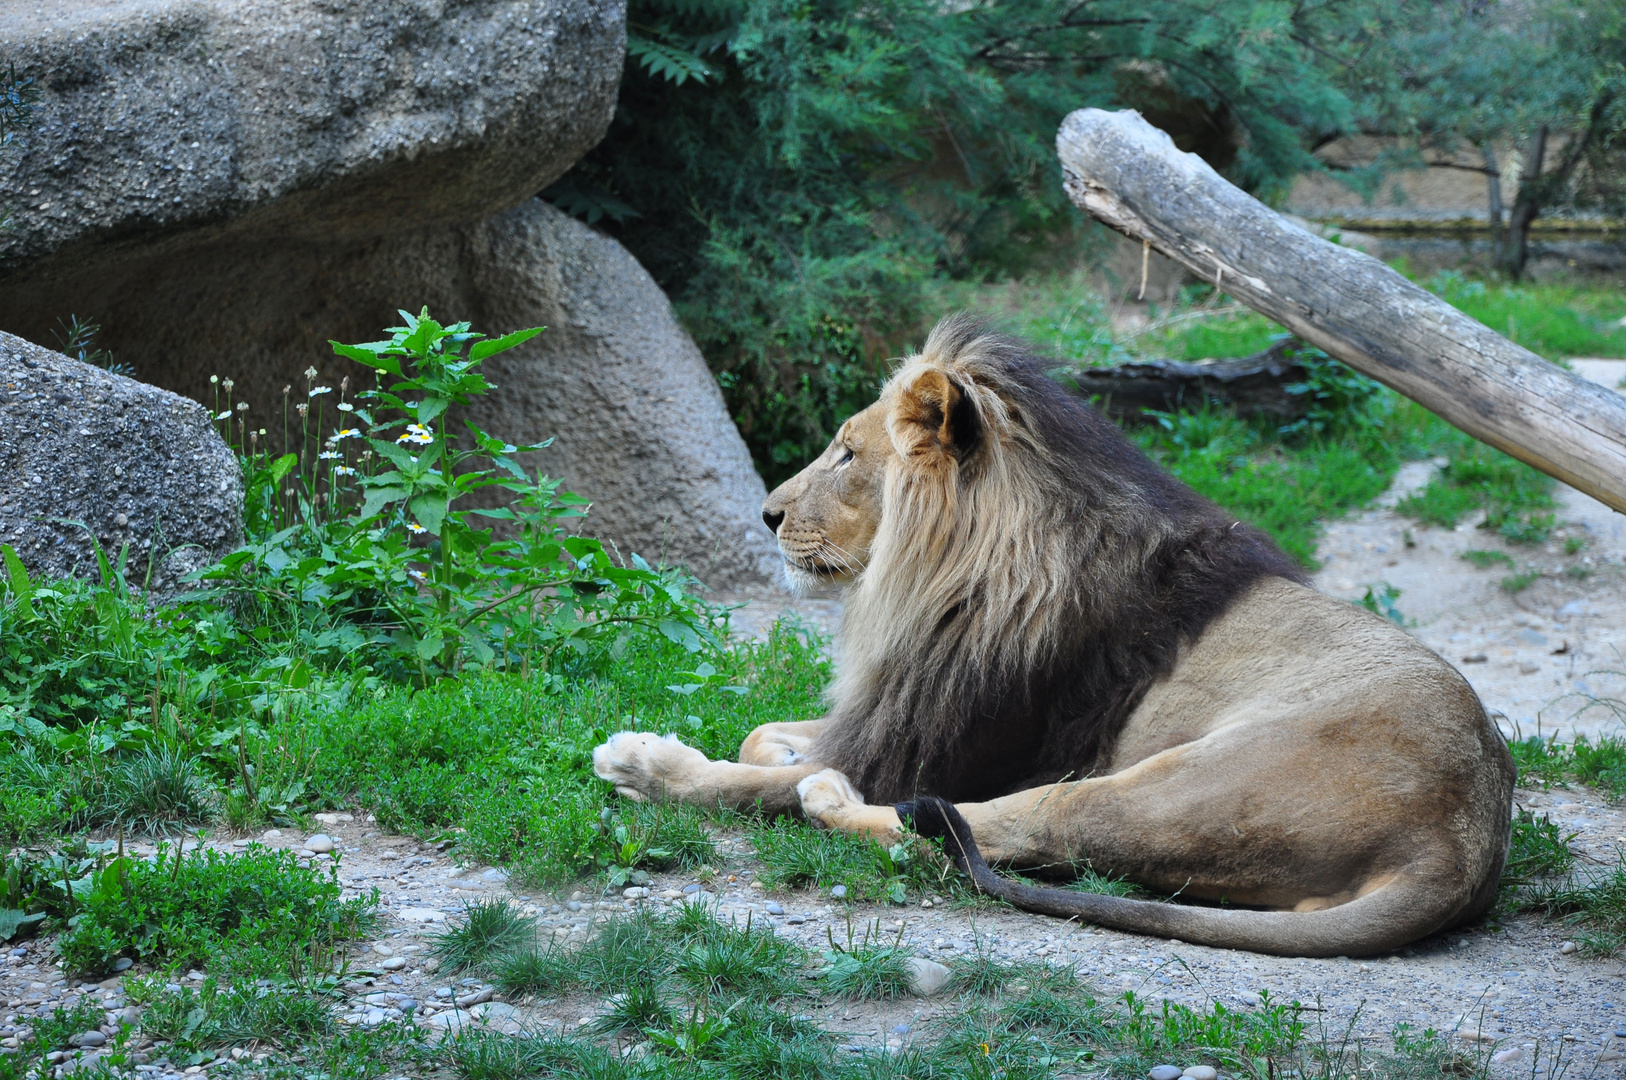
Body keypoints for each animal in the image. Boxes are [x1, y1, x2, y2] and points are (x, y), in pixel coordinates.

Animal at [598, 312, 1508, 956]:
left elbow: (749, 782)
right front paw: (775, 744)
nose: (767, 514)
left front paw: (653, 762)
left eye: (848, 454)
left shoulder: (920, 747)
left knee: (992, 831)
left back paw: (809, 795)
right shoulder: (901, 711)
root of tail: (1463, 844)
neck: (952, 574)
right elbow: (760, 733)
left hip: (1169, 782)